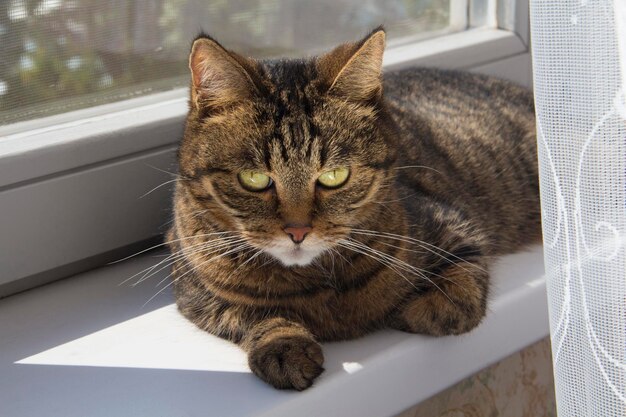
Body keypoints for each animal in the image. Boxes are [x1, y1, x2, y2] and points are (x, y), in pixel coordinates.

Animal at [166, 26, 540, 390]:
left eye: (334, 176)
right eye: (254, 179)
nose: (298, 230)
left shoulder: (455, 226)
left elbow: (459, 294)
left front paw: (416, 309)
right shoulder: (191, 287)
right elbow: (250, 314)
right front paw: (283, 345)